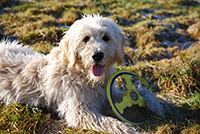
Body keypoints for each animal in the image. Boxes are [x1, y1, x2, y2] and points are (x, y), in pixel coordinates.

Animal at [0, 14, 164, 133]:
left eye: (105, 37)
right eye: (86, 39)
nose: (97, 55)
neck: (83, 76)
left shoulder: (106, 96)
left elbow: (139, 92)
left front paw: (155, 104)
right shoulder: (79, 111)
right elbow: (108, 121)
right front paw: (128, 129)